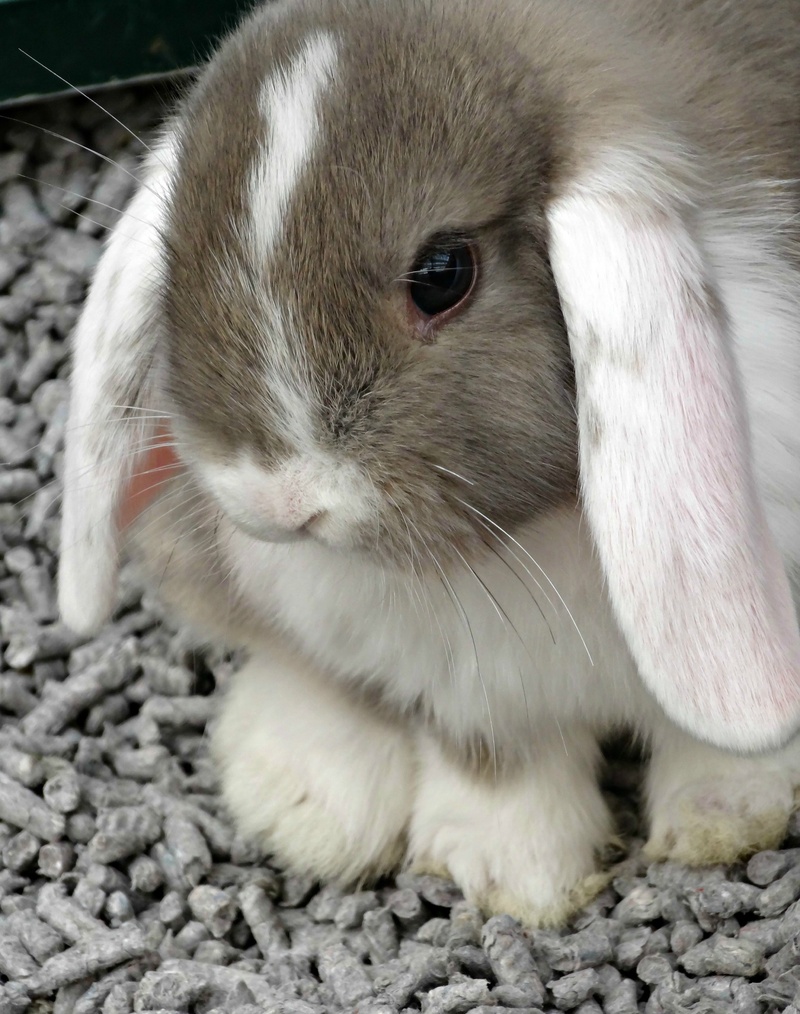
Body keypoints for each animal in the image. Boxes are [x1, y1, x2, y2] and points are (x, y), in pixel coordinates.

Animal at [58, 0, 800, 926]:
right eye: (174, 256)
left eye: (443, 273)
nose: (277, 503)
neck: (524, 534)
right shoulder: (470, 692)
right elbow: (495, 761)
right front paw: (517, 876)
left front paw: (727, 816)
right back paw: (308, 804)